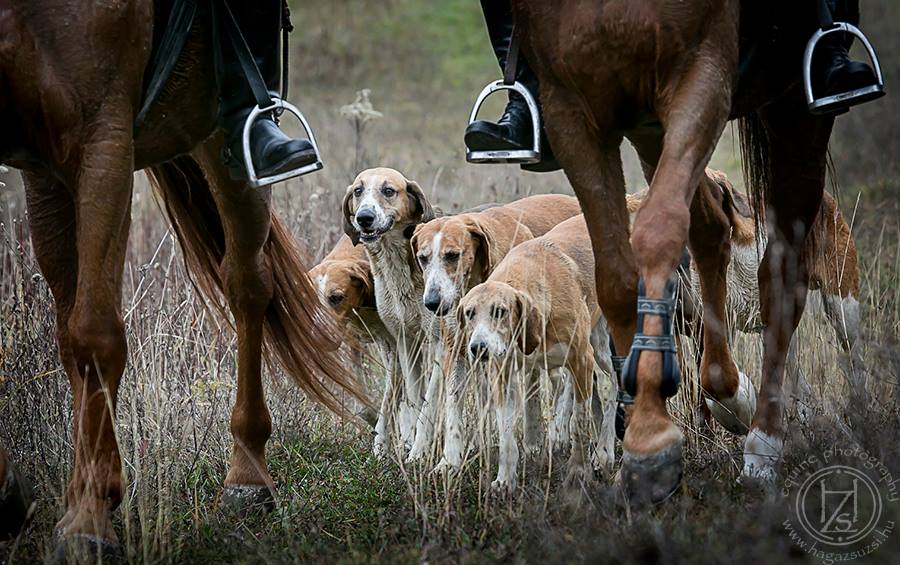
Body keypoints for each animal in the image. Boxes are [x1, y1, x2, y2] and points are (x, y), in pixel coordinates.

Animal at [0, 0, 366, 553]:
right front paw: (29, 496)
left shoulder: (102, 143)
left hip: (224, 150)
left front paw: (88, 518)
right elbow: (70, 339)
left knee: (248, 285)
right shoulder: (42, 168)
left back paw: (246, 477)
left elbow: (93, 335)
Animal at [341, 167, 439, 456]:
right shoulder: (406, 342)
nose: (364, 218)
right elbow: (414, 400)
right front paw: (407, 444)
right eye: (358, 190)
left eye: (388, 191)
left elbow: (428, 402)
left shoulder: (439, 343)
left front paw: (418, 452)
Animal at [407, 194, 582, 468]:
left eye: (452, 255)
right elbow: (453, 402)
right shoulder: (456, 348)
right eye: (423, 258)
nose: (432, 303)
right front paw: (449, 460)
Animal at [458, 215, 617, 491]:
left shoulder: (581, 360)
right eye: (469, 313)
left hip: (602, 349)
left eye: (499, 311)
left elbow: (580, 421)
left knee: (614, 389)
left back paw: (604, 452)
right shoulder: (502, 373)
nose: (478, 348)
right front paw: (504, 479)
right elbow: (506, 431)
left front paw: (578, 472)